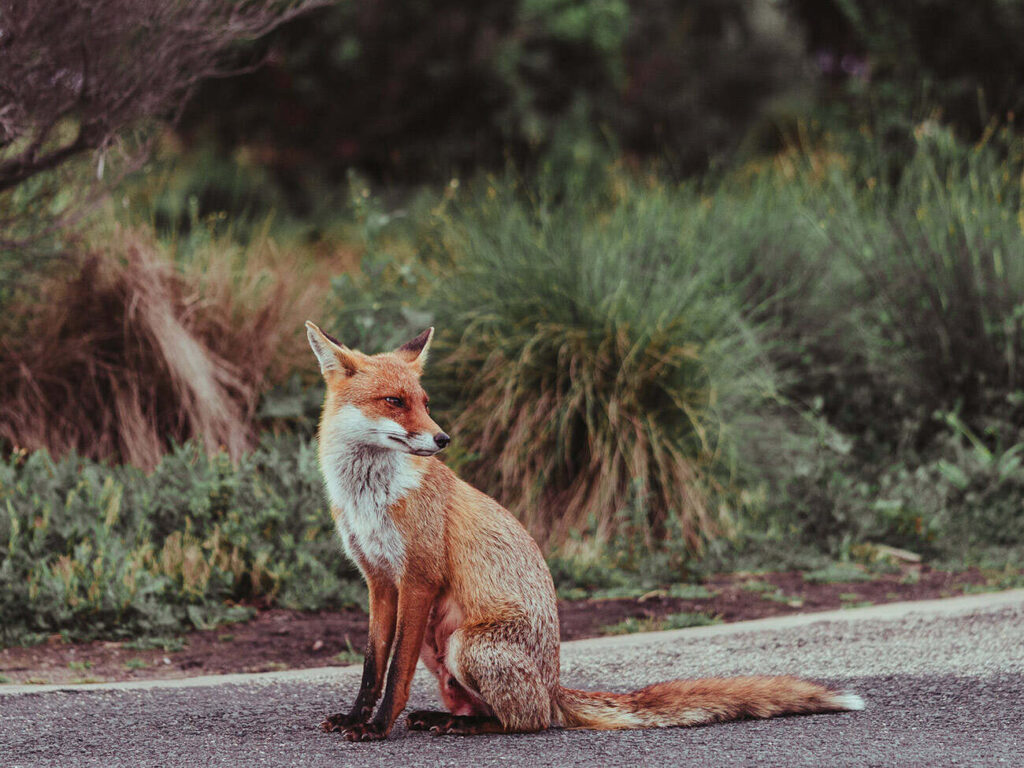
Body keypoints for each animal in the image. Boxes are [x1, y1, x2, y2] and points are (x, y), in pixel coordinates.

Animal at [303, 321, 864, 741]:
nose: (442, 438)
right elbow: (373, 666)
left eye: (423, 400)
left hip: (465, 646)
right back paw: (442, 717)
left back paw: (467, 726)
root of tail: (555, 688)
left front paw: (378, 728)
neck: (369, 499)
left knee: (526, 721)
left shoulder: (418, 577)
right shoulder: (380, 581)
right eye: (395, 401)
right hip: (442, 654)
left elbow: (394, 673)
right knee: (497, 710)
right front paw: (357, 718)